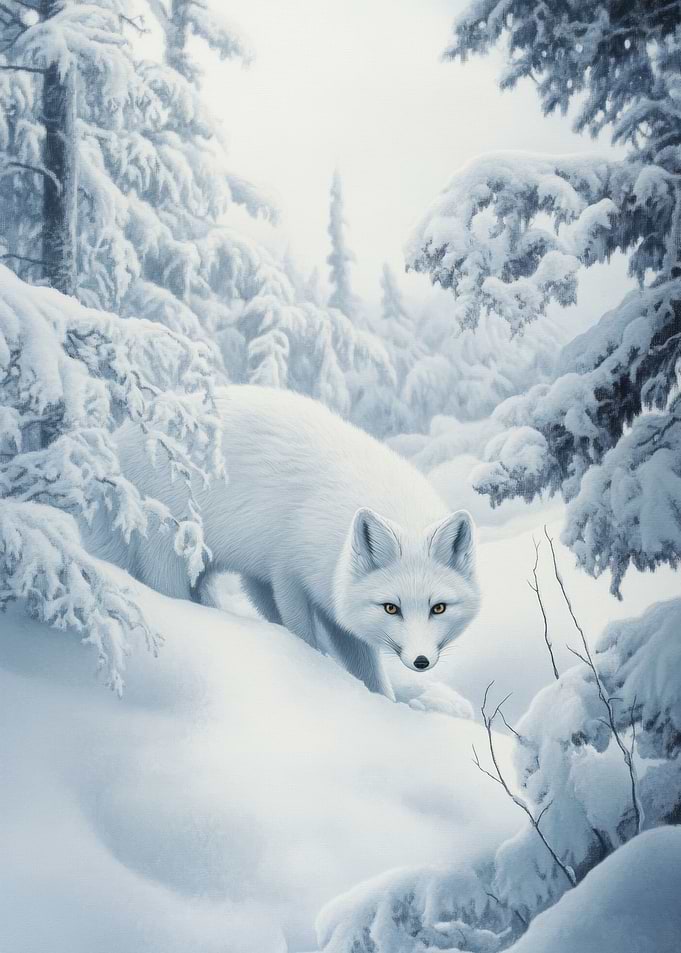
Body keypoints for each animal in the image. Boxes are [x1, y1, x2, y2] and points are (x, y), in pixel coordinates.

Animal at [93, 385, 481, 698]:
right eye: (391, 608)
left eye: (439, 608)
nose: (421, 661)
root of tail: (118, 440)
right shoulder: (286, 574)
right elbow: (300, 633)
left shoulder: (310, 592)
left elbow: (366, 668)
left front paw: (384, 702)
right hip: (168, 559)